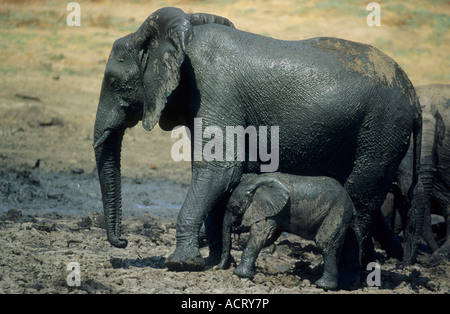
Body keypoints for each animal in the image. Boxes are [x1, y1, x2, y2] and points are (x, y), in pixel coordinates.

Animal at [91, 7, 422, 276]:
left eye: (112, 81)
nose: (123, 241)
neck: (183, 38)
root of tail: (414, 95)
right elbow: (217, 174)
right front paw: (213, 264)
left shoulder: (215, 88)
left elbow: (220, 169)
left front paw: (181, 264)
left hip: (381, 130)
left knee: (361, 197)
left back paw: (348, 276)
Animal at [218, 173, 362, 290]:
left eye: (234, 207)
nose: (217, 268)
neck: (258, 181)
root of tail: (352, 206)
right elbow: (270, 237)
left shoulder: (272, 210)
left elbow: (260, 235)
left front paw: (241, 274)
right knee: (343, 246)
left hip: (337, 211)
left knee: (325, 243)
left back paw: (323, 285)